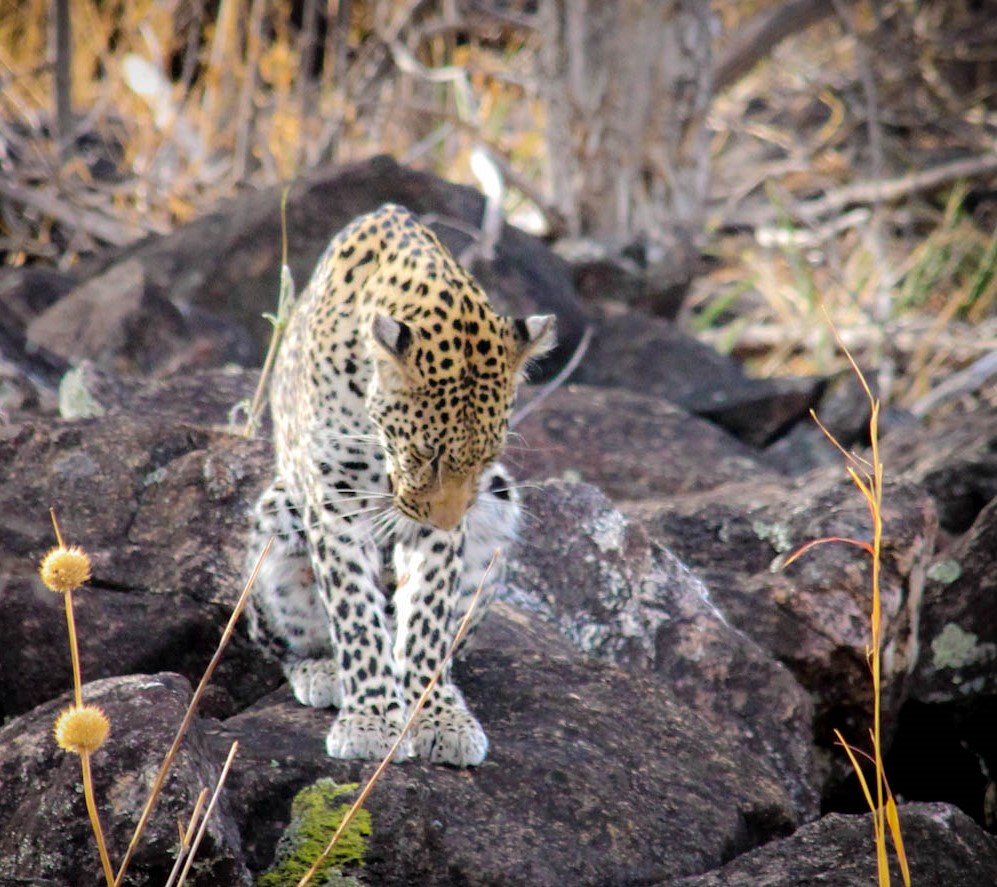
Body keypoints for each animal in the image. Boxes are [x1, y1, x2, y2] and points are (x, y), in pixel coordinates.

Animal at [245, 203, 555, 767]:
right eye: (427, 454)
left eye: (485, 457)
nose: (450, 520)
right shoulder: (336, 503)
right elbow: (356, 616)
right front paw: (370, 718)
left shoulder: (447, 523)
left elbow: (428, 617)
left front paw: (436, 715)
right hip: (279, 517)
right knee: (284, 645)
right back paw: (323, 672)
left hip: (499, 502)